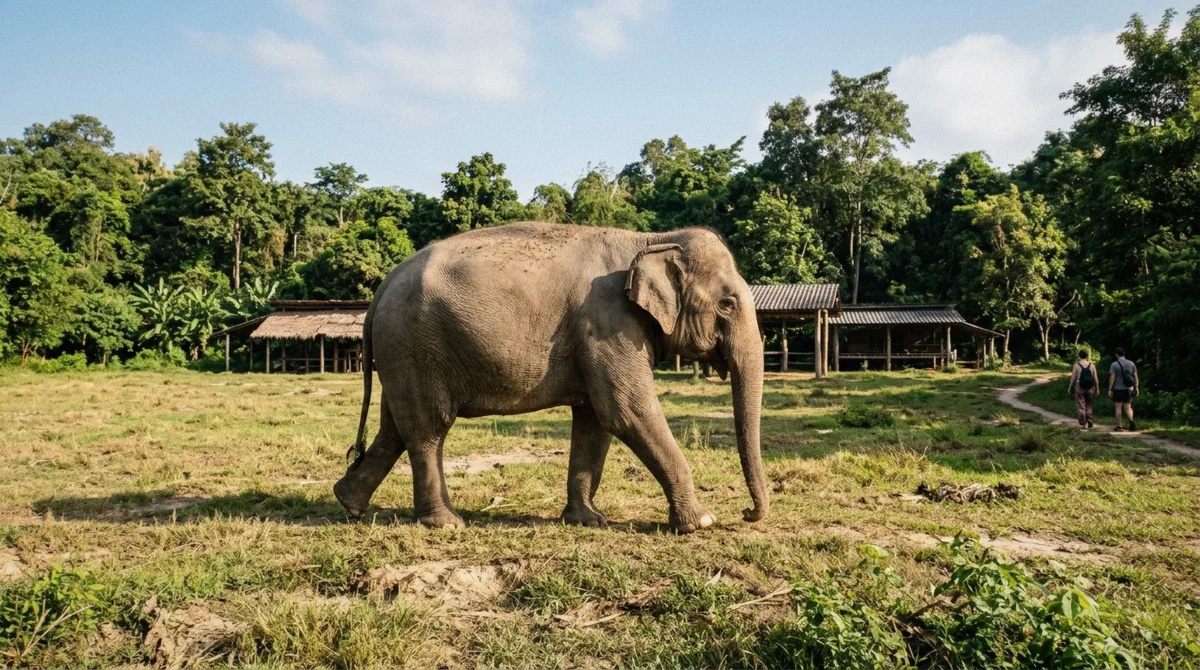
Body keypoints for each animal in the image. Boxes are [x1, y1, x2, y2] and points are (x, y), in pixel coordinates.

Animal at [332, 222, 768, 534]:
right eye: (727, 304)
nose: (746, 513)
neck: (653, 239)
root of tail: (381, 289)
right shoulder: (607, 323)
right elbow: (627, 412)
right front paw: (701, 522)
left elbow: (595, 422)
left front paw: (588, 520)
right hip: (415, 346)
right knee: (427, 429)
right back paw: (446, 524)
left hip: (401, 354)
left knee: (395, 427)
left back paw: (348, 503)